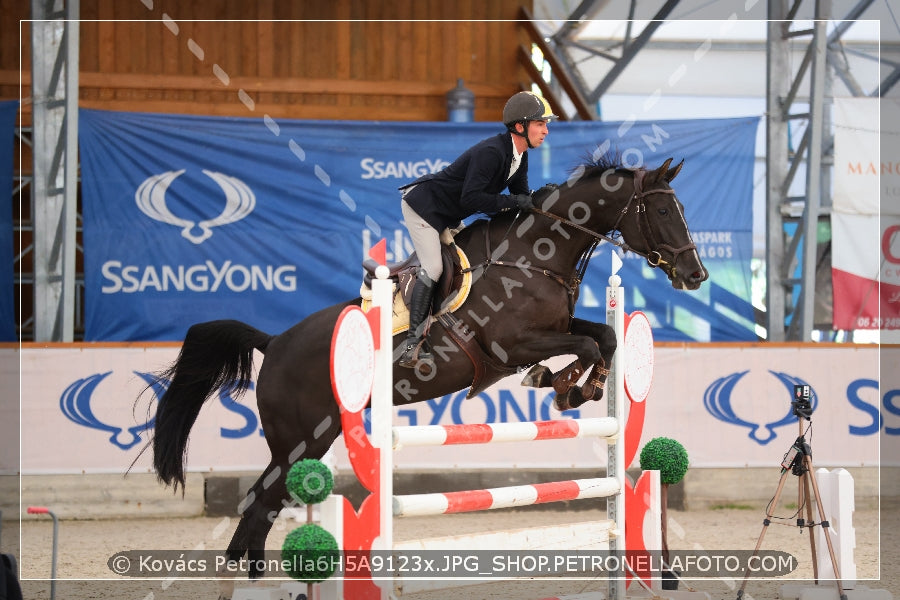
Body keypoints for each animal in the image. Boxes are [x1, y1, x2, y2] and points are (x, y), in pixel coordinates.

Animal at [146, 154, 712, 576]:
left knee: (260, 511)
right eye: (663, 212)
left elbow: (606, 338)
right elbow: (589, 347)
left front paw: (577, 385)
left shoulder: (560, 325)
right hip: (300, 440)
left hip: (308, 440)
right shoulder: (510, 345)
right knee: (261, 504)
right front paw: (564, 384)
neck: (534, 254)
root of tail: (276, 341)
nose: (696, 275)